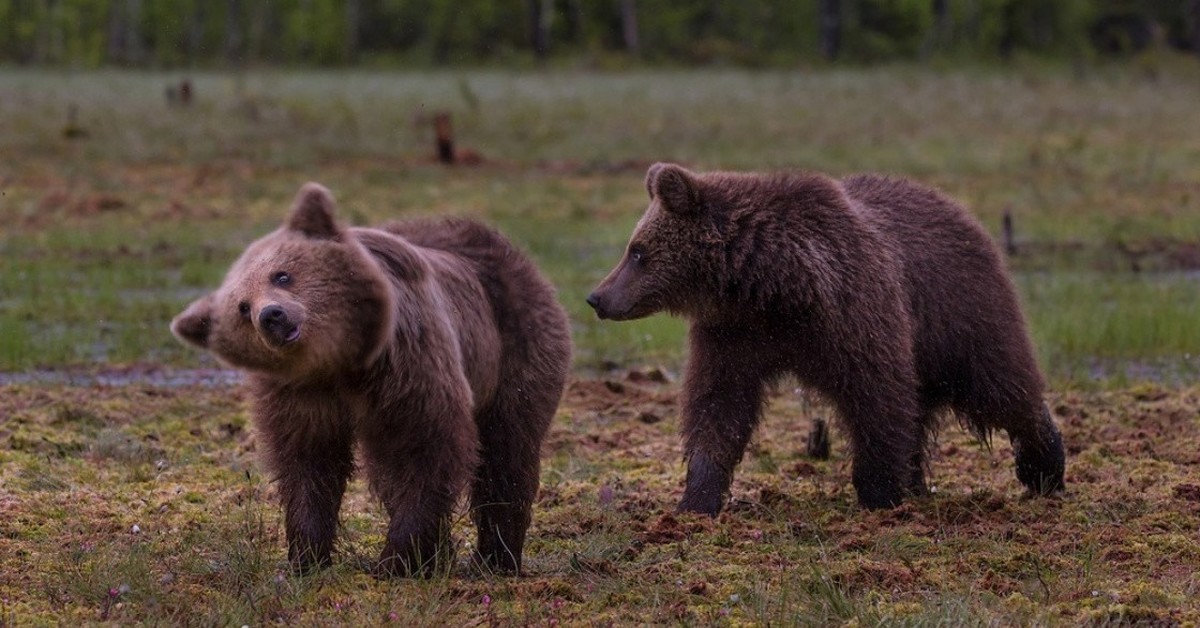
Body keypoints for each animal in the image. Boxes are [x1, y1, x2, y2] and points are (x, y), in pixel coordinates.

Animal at [170, 181, 576, 573]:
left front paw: (395, 559)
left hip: (515, 347)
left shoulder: (406, 370)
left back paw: (495, 558)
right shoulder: (300, 395)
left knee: (506, 451)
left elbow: (424, 447)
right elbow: (309, 463)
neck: (338, 364)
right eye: (242, 307)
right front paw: (306, 556)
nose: (271, 316)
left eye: (282, 275)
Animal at [585, 162, 1065, 516]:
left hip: (958, 312)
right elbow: (717, 406)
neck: (772, 289)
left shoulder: (850, 315)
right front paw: (696, 498)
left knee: (997, 384)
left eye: (638, 252)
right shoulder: (733, 335)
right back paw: (917, 480)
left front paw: (878, 492)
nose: (597, 297)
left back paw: (1044, 467)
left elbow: (876, 395)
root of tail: (958, 208)